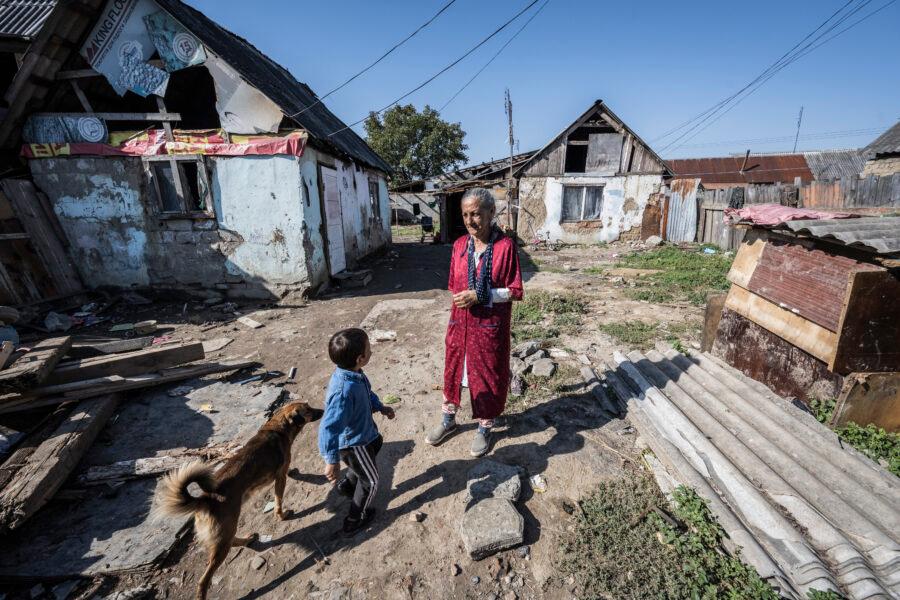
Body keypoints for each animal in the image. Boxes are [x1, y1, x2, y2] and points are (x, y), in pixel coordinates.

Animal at [155, 404, 324, 600]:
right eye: (308, 410)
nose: (323, 410)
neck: (279, 427)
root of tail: (204, 499)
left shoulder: (282, 471)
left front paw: (294, 473)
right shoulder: (279, 477)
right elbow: (279, 500)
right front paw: (282, 515)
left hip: (225, 532)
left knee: (232, 542)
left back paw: (248, 540)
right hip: (225, 532)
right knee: (204, 579)